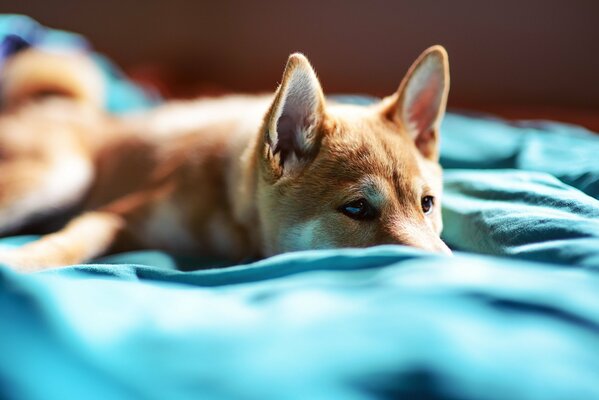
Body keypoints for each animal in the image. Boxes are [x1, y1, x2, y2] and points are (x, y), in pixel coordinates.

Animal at [0, 46, 452, 272]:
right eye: (356, 208)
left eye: (427, 204)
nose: (448, 269)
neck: (229, 218)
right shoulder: (116, 215)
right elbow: (68, 244)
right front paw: (22, 261)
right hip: (60, 175)